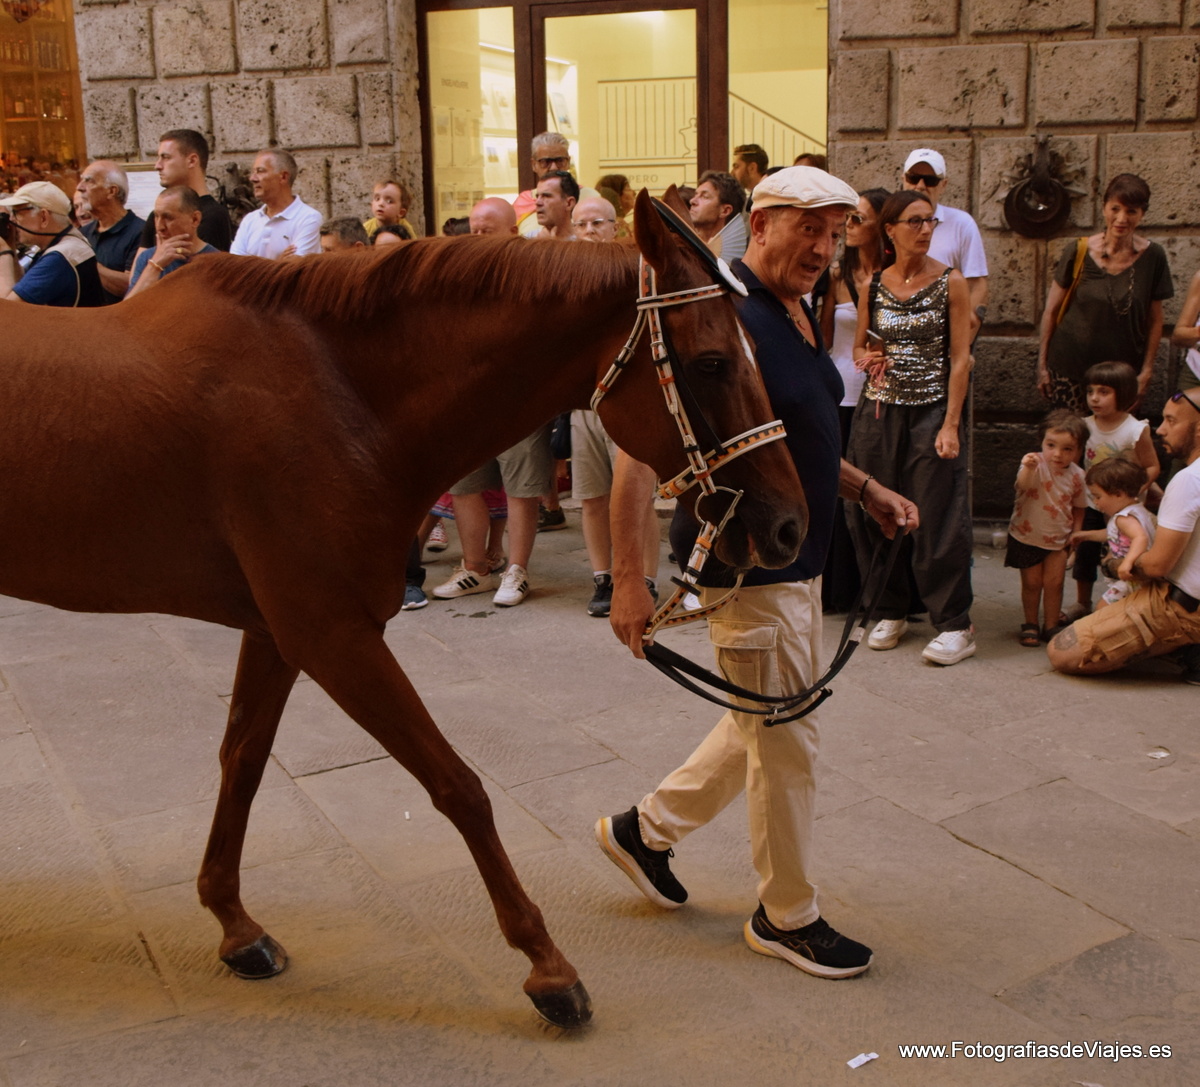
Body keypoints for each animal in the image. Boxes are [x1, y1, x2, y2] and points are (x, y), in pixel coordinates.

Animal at [0, 190, 806, 1028]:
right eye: (713, 362)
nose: (789, 525)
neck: (339, 394)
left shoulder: (281, 630)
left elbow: (243, 761)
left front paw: (234, 922)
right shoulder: (330, 633)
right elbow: (457, 785)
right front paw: (545, 963)